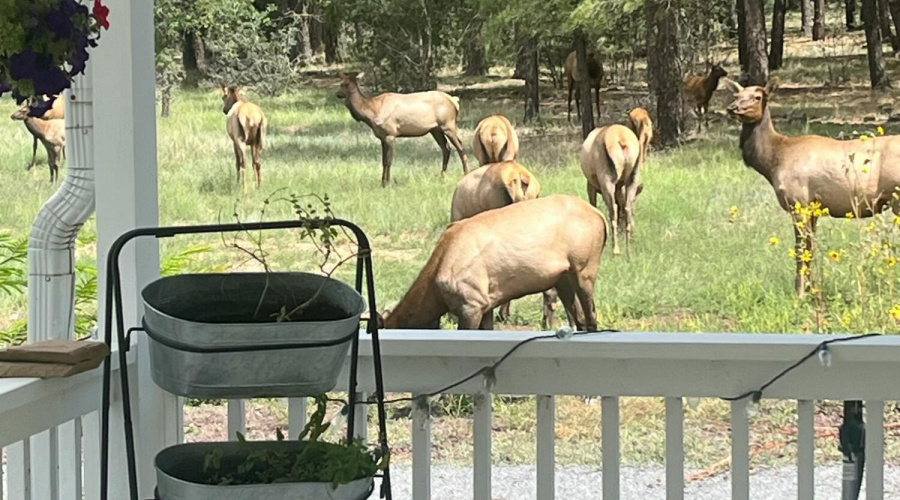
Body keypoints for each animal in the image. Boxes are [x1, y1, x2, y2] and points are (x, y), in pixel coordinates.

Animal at [335, 73, 469, 187]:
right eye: (340, 83)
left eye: (346, 84)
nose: (337, 94)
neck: (371, 113)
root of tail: (454, 101)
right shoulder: (382, 137)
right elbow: (383, 161)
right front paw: (382, 182)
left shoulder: (390, 134)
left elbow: (388, 161)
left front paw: (387, 184)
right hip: (435, 129)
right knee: (446, 148)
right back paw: (442, 176)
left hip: (448, 124)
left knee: (460, 147)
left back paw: (466, 173)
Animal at [380, 194, 607, 331]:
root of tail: (600, 216)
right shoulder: (486, 304)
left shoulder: (471, 304)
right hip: (562, 279)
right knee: (579, 318)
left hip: (584, 270)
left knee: (591, 317)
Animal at [581, 124, 643, 257]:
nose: (634, 236)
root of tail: (622, 140)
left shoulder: (590, 184)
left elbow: (594, 205)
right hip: (633, 177)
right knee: (626, 207)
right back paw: (628, 252)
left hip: (607, 179)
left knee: (612, 211)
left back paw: (616, 250)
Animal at [724, 77, 900, 296]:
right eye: (736, 95)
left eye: (757, 97)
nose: (732, 108)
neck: (773, 161)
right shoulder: (813, 208)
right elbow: (810, 249)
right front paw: (810, 289)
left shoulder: (798, 202)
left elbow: (801, 249)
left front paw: (799, 293)